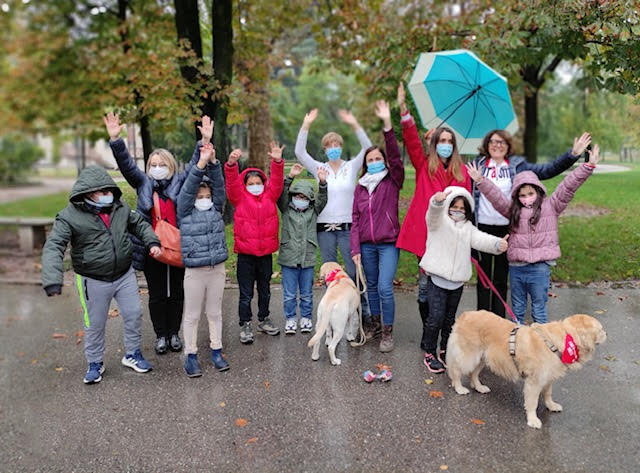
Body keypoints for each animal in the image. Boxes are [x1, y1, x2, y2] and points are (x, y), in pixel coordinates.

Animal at [444, 310, 604, 428]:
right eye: (601, 329)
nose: (607, 334)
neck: (562, 340)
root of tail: (465, 315)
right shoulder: (534, 382)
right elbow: (532, 402)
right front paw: (533, 420)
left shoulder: (548, 378)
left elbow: (548, 394)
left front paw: (551, 405)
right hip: (469, 356)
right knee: (456, 370)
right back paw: (459, 387)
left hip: (483, 358)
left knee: (473, 374)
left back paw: (479, 387)